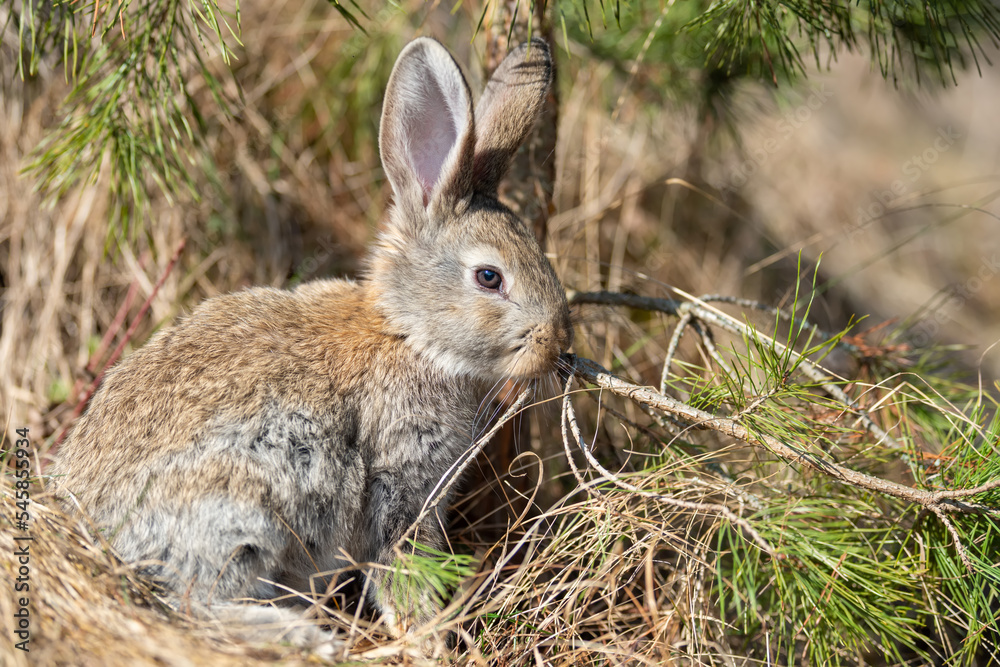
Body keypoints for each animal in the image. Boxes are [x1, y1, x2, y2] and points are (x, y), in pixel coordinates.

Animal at [50, 34, 576, 648]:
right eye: (489, 277)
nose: (557, 343)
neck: (409, 336)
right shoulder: (397, 479)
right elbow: (399, 565)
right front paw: (427, 637)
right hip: (245, 502)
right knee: (190, 603)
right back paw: (300, 636)